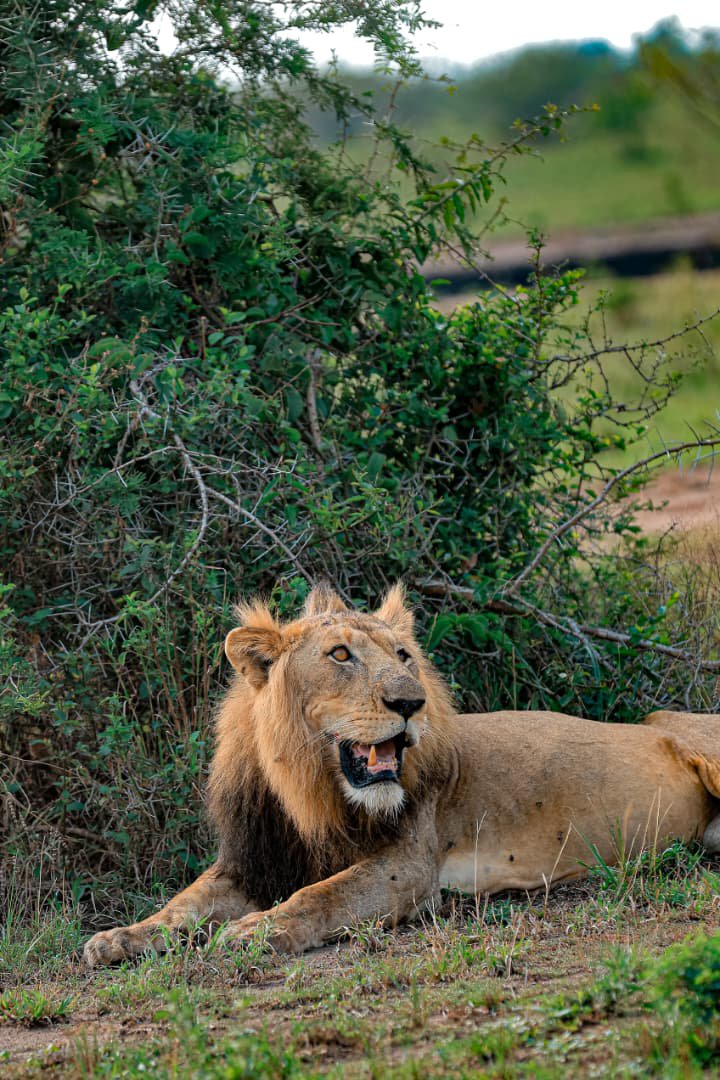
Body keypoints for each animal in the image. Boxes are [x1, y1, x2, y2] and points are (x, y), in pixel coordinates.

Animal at [83, 584, 720, 966]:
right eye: (340, 655)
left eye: (404, 656)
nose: (411, 702)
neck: (310, 792)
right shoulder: (253, 860)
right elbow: (181, 904)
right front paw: (118, 937)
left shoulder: (411, 865)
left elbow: (320, 895)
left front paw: (254, 931)